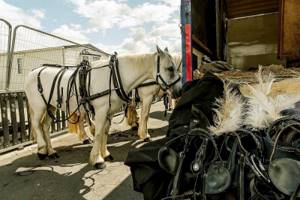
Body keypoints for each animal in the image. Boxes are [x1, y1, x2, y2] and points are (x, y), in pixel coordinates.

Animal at [25, 46, 180, 168]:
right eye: (170, 68)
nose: (179, 90)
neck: (115, 76)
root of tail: (33, 72)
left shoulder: (109, 111)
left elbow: (105, 132)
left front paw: (105, 153)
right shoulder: (102, 110)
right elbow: (99, 133)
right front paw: (97, 159)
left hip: (50, 106)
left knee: (45, 126)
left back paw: (51, 152)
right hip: (39, 107)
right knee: (37, 125)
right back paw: (42, 150)